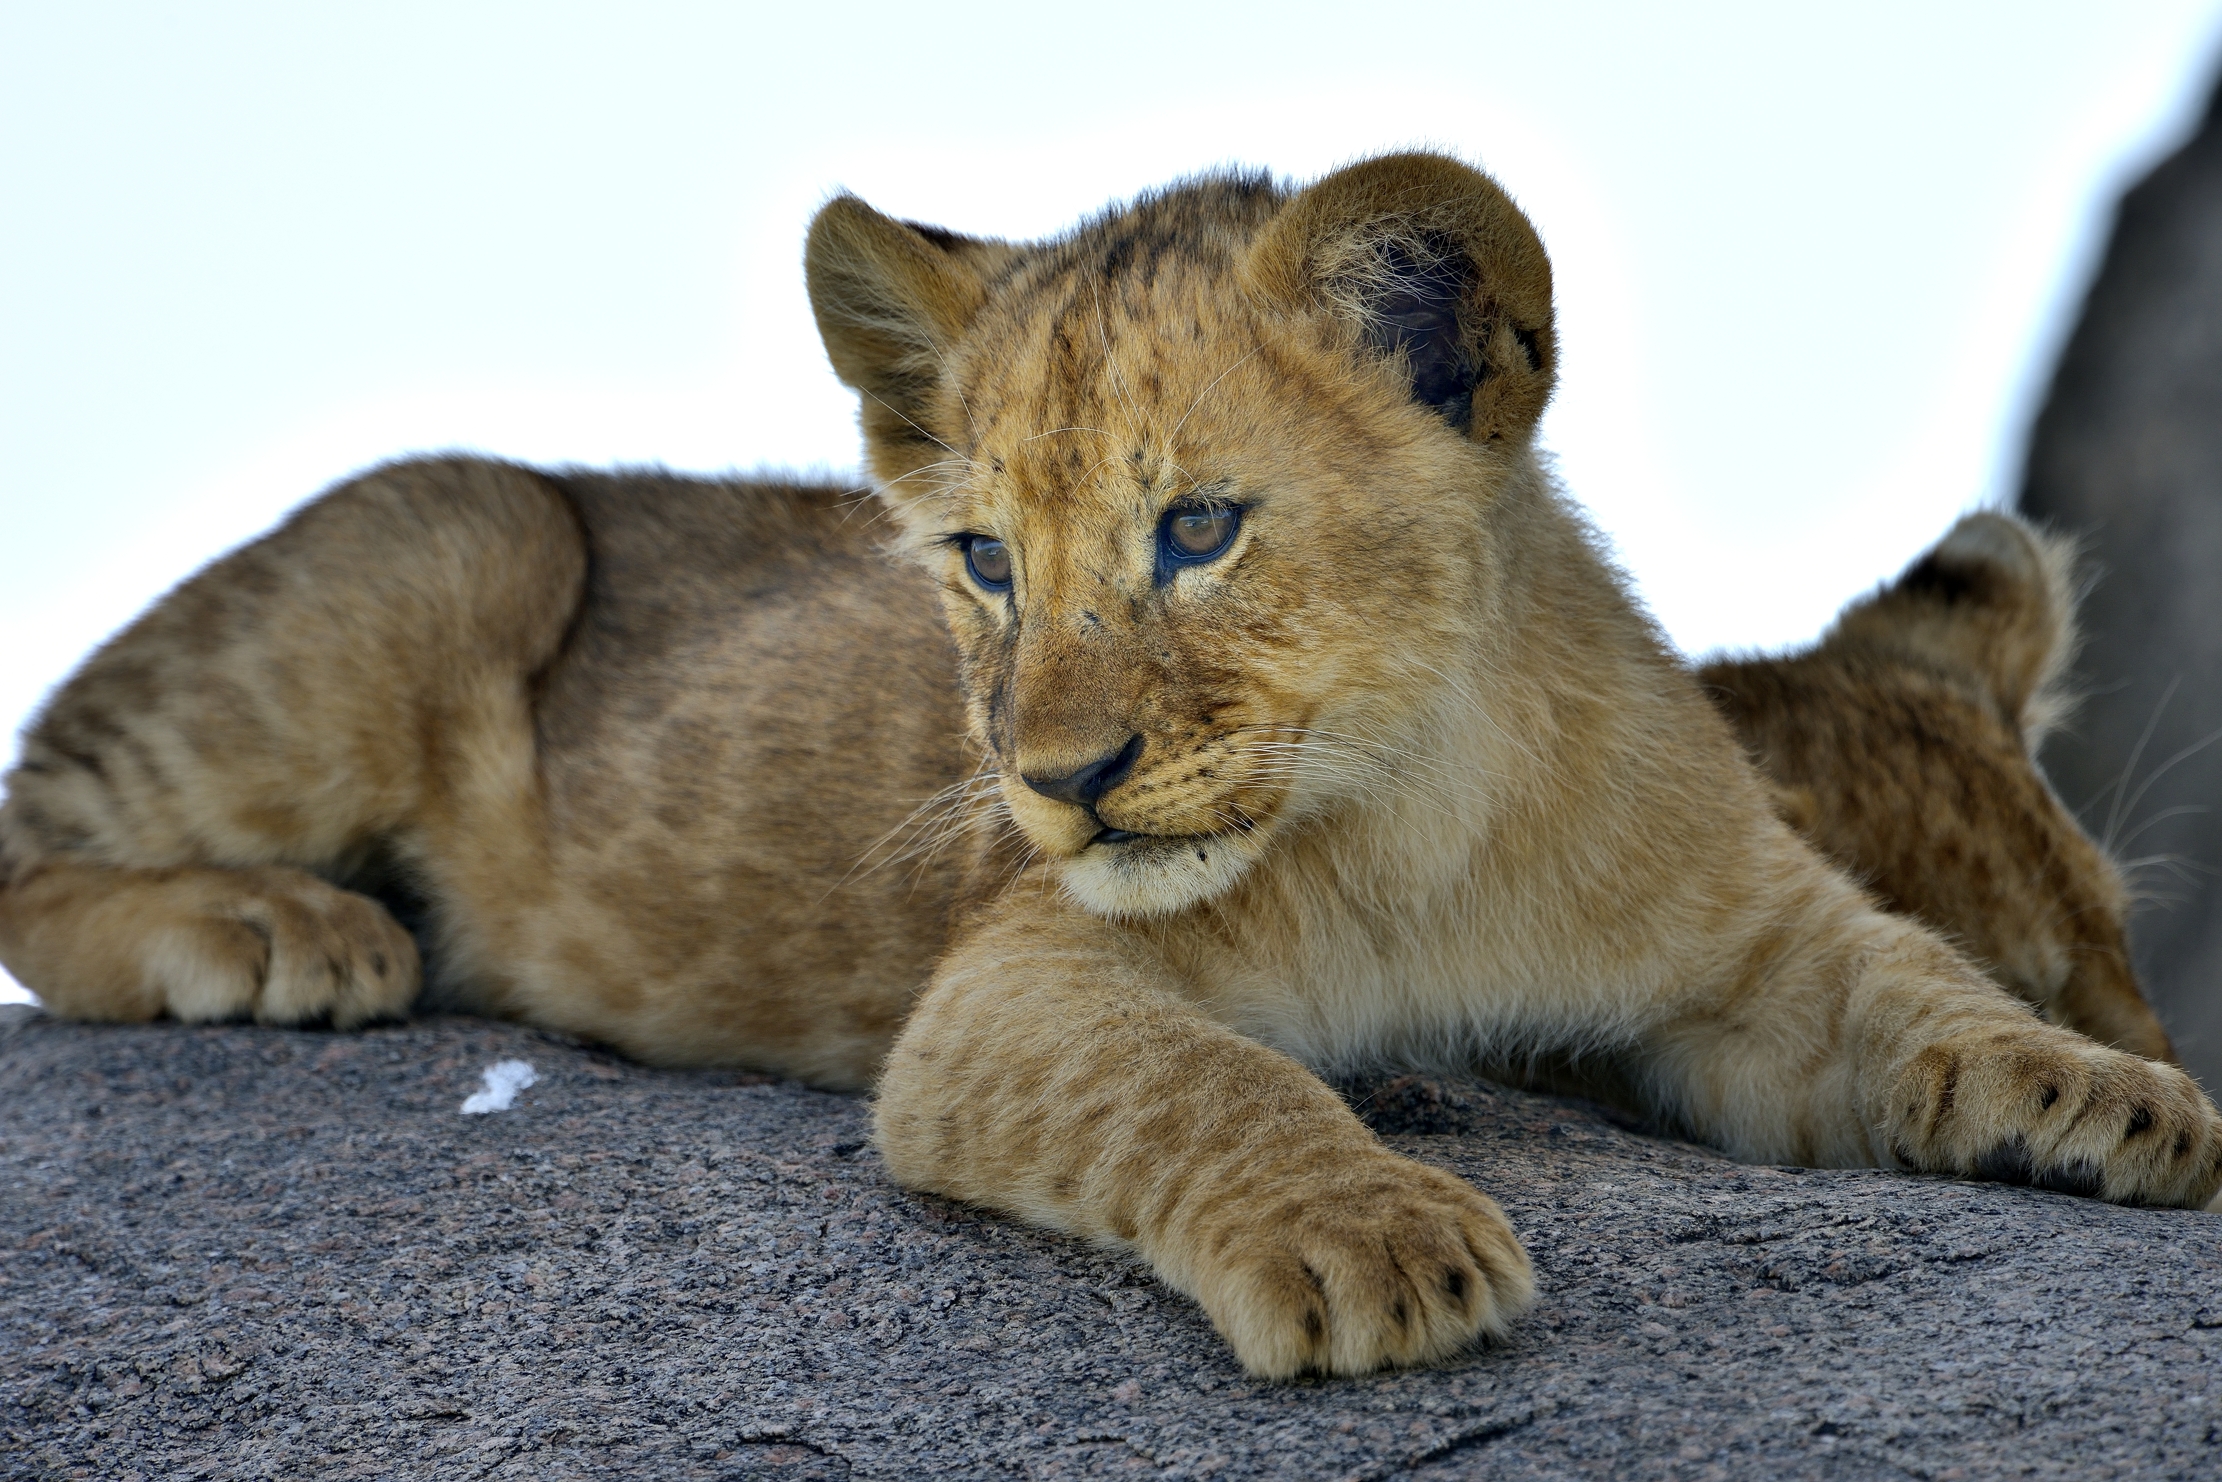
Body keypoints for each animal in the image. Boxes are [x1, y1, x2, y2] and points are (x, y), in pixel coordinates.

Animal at [3, 152, 2216, 1381]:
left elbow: (1902, 1001)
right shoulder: (1014, 987)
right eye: (984, 562)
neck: (1427, 814)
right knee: (36, 825)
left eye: (1197, 532)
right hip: (455, 538)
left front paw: (2116, 1105)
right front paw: (1375, 1244)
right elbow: (1211, 1082)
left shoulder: (1743, 940)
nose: (1057, 779)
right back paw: (278, 931)